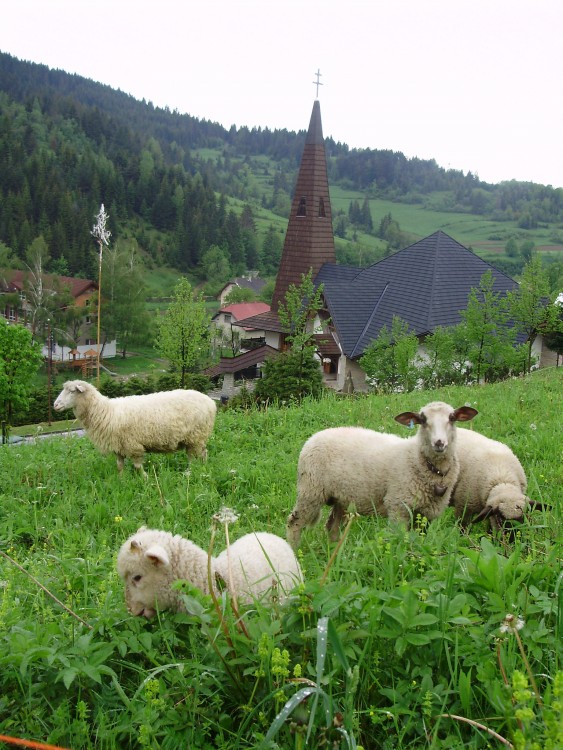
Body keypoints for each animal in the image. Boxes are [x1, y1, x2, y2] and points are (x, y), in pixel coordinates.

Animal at [53, 382, 216, 476]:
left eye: (72, 391)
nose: (55, 405)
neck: (105, 411)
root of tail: (211, 402)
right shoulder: (118, 446)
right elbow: (119, 465)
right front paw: (121, 479)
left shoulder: (133, 445)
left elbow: (138, 466)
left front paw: (145, 479)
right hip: (196, 438)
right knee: (202, 453)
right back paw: (202, 468)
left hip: (196, 436)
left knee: (194, 457)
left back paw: (190, 472)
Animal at [286, 402, 476, 548]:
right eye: (422, 420)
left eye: (452, 418)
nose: (439, 443)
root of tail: (314, 436)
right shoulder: (398, 505)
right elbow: (399, 538)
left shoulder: (427, 514)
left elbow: (418, 540)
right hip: (310, 491)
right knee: (295, 523)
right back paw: (295, 551)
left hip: (341, 497)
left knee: (332, 527)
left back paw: (335, 552)